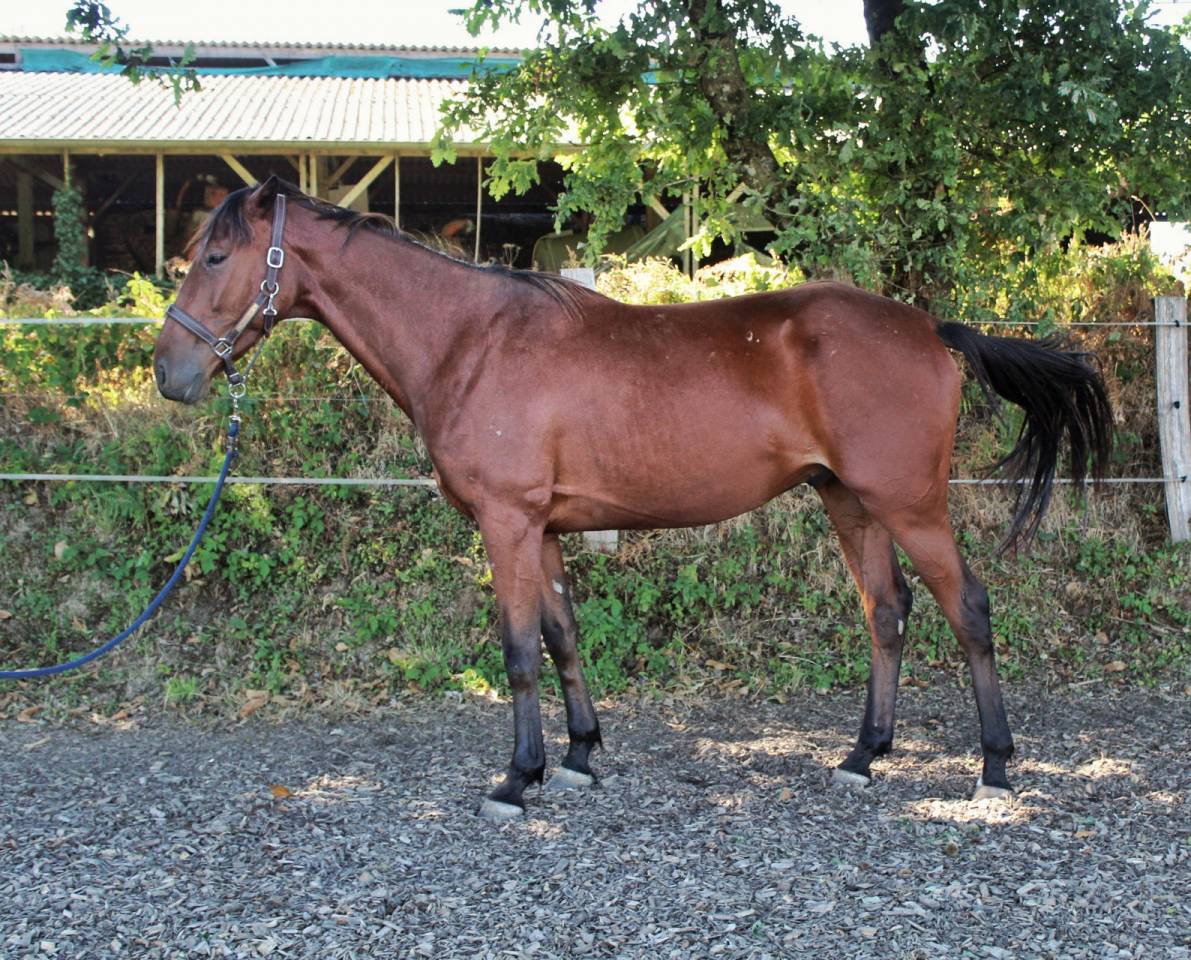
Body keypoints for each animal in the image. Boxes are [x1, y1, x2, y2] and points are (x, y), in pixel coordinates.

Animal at [153, 177, 1113, 820]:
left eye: (215, 256)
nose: (170, 374)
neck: (470, 339)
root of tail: (927, 327)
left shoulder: (505, 523)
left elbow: (516, 652)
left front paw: (518, 779)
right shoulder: (540, 528)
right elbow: (563, 638)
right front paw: (578, 758)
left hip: (908, 504)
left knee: (968, 609)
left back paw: (993, 770)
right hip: (848, 501)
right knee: (887, 612)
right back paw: (861, 757)